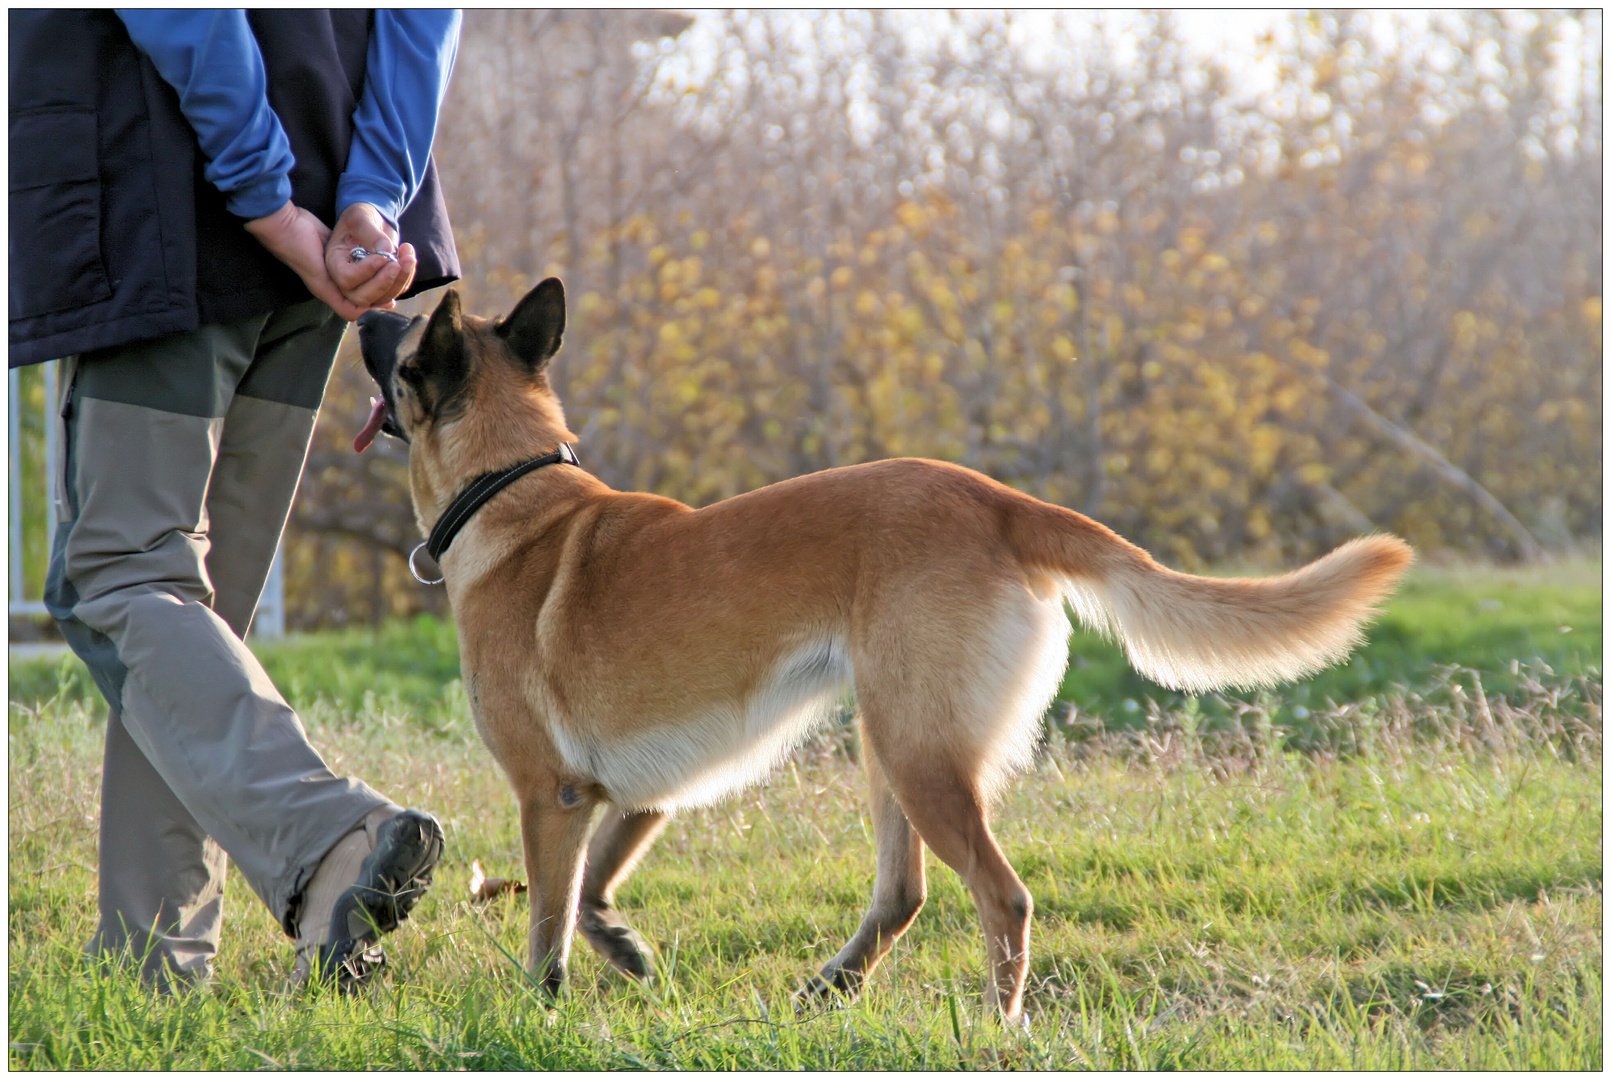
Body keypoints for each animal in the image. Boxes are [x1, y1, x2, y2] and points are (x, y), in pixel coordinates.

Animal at [356, 278, 1411, 1025]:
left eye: (398, 343)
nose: (362, 305)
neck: (512, 487)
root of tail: (999, 502)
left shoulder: (551, 796)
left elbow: (548, 927)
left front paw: (542, 1010)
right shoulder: (639, 790)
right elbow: (591, 896)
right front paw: (626, 949)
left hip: (916, 754)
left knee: (1002, 898)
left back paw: (993, 1030)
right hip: (891, 743)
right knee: (904, 894)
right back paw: (833, 986)